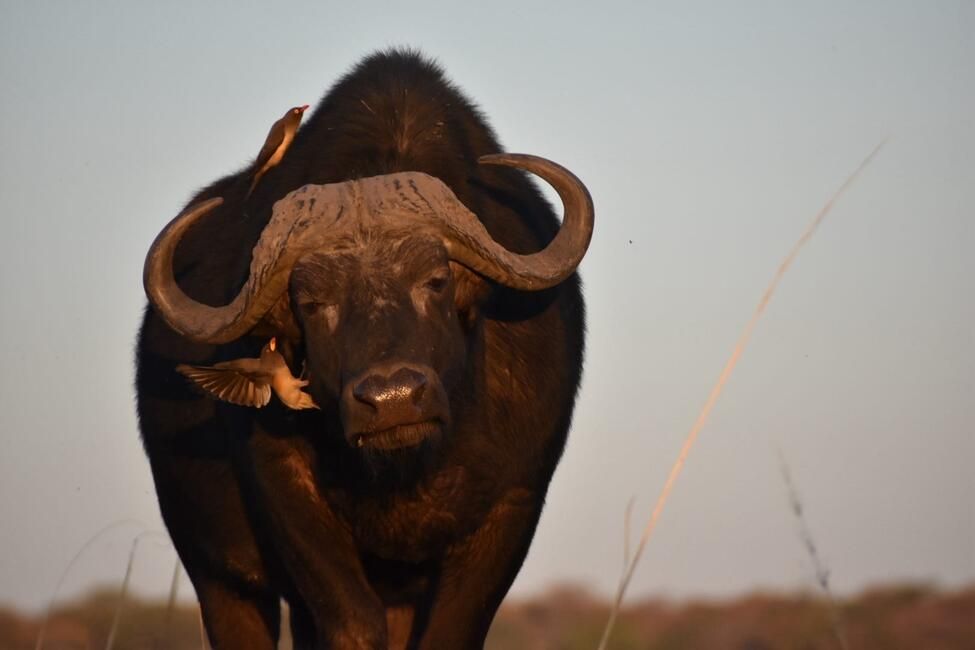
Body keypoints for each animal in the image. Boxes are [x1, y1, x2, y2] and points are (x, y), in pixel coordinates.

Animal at [136, 49, 593, 649]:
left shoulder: (514, 502)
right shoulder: (283, 486)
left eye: (436, 281)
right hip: (217, 575)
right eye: (312, 303)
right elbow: (354, 623)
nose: (393, 399)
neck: (410, 467)